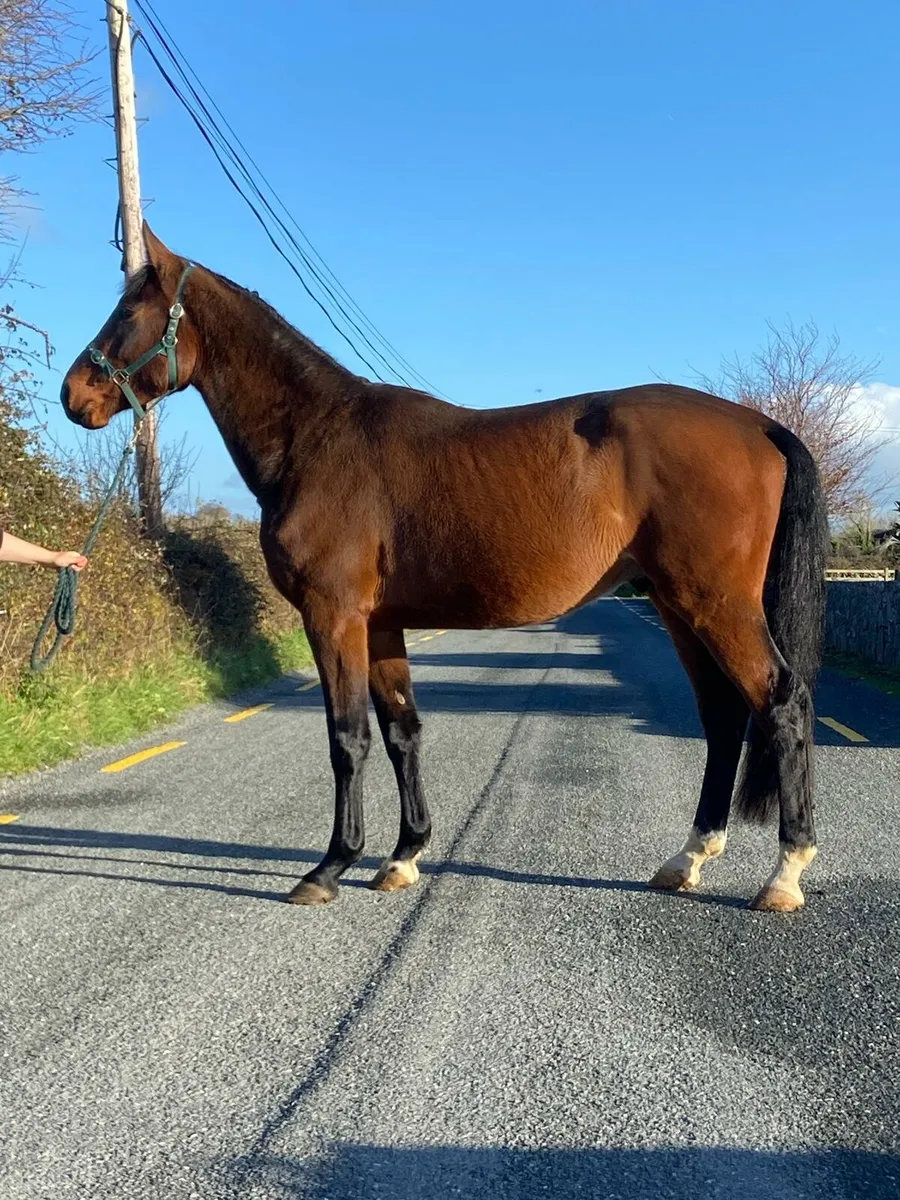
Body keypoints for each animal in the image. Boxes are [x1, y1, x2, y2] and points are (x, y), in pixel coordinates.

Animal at [61, 225, 828, 913]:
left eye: (127, 312)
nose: (76, 396)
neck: (317, 439)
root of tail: (757, 425)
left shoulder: (333, 617)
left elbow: (347, 738)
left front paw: (330, 867)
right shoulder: (379, 625)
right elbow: (402, 732)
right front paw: (404, 856)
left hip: (715, 603)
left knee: (781, 703)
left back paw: (784, 874)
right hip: (675, 605)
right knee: (723, 715)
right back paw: (687, 858)